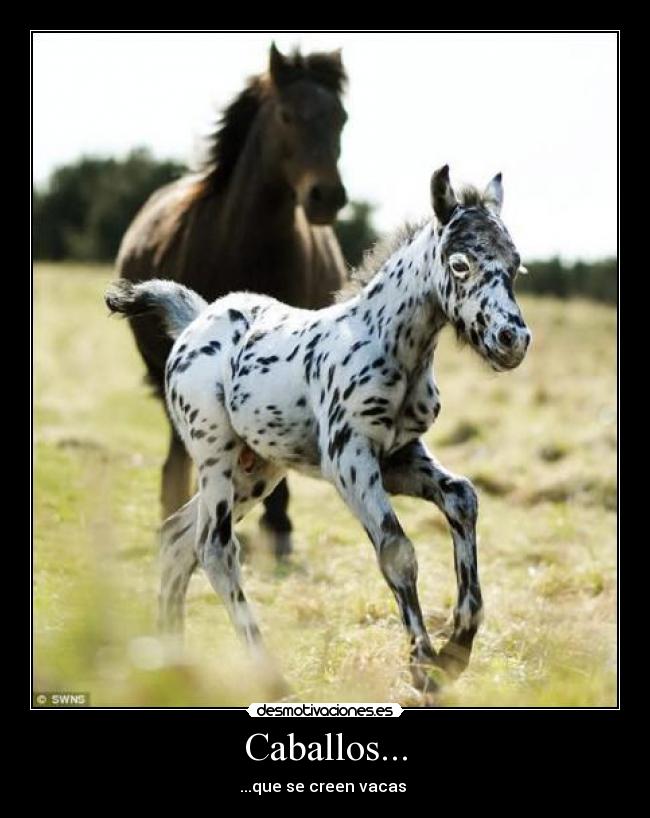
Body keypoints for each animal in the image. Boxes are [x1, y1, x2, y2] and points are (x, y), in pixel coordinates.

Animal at [106, 165, 531, 695]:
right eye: (459, 265)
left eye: (515, 265)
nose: (512, 339)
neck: (391, 346)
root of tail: (194, 319)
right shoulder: (348, 458)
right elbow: (397, 551)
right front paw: (423, 665)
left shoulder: (400, 456)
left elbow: (463, 497)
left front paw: (456, 650)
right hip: (215, 456)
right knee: (215, 549)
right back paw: (269, 677)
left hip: (257, 470)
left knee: (176, 538)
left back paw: (173, 663)